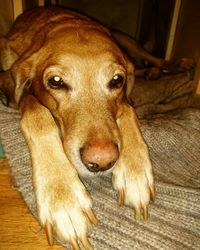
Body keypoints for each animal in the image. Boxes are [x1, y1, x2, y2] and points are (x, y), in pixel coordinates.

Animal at [0, 6, 155, 249]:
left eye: (117, 80)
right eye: (55, 81)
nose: (101, 162)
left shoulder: (125, 96)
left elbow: (127, 108)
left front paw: (135, 169)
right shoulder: (19, 95)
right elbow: (35, 109)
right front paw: (62, 196)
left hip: (128, 42)